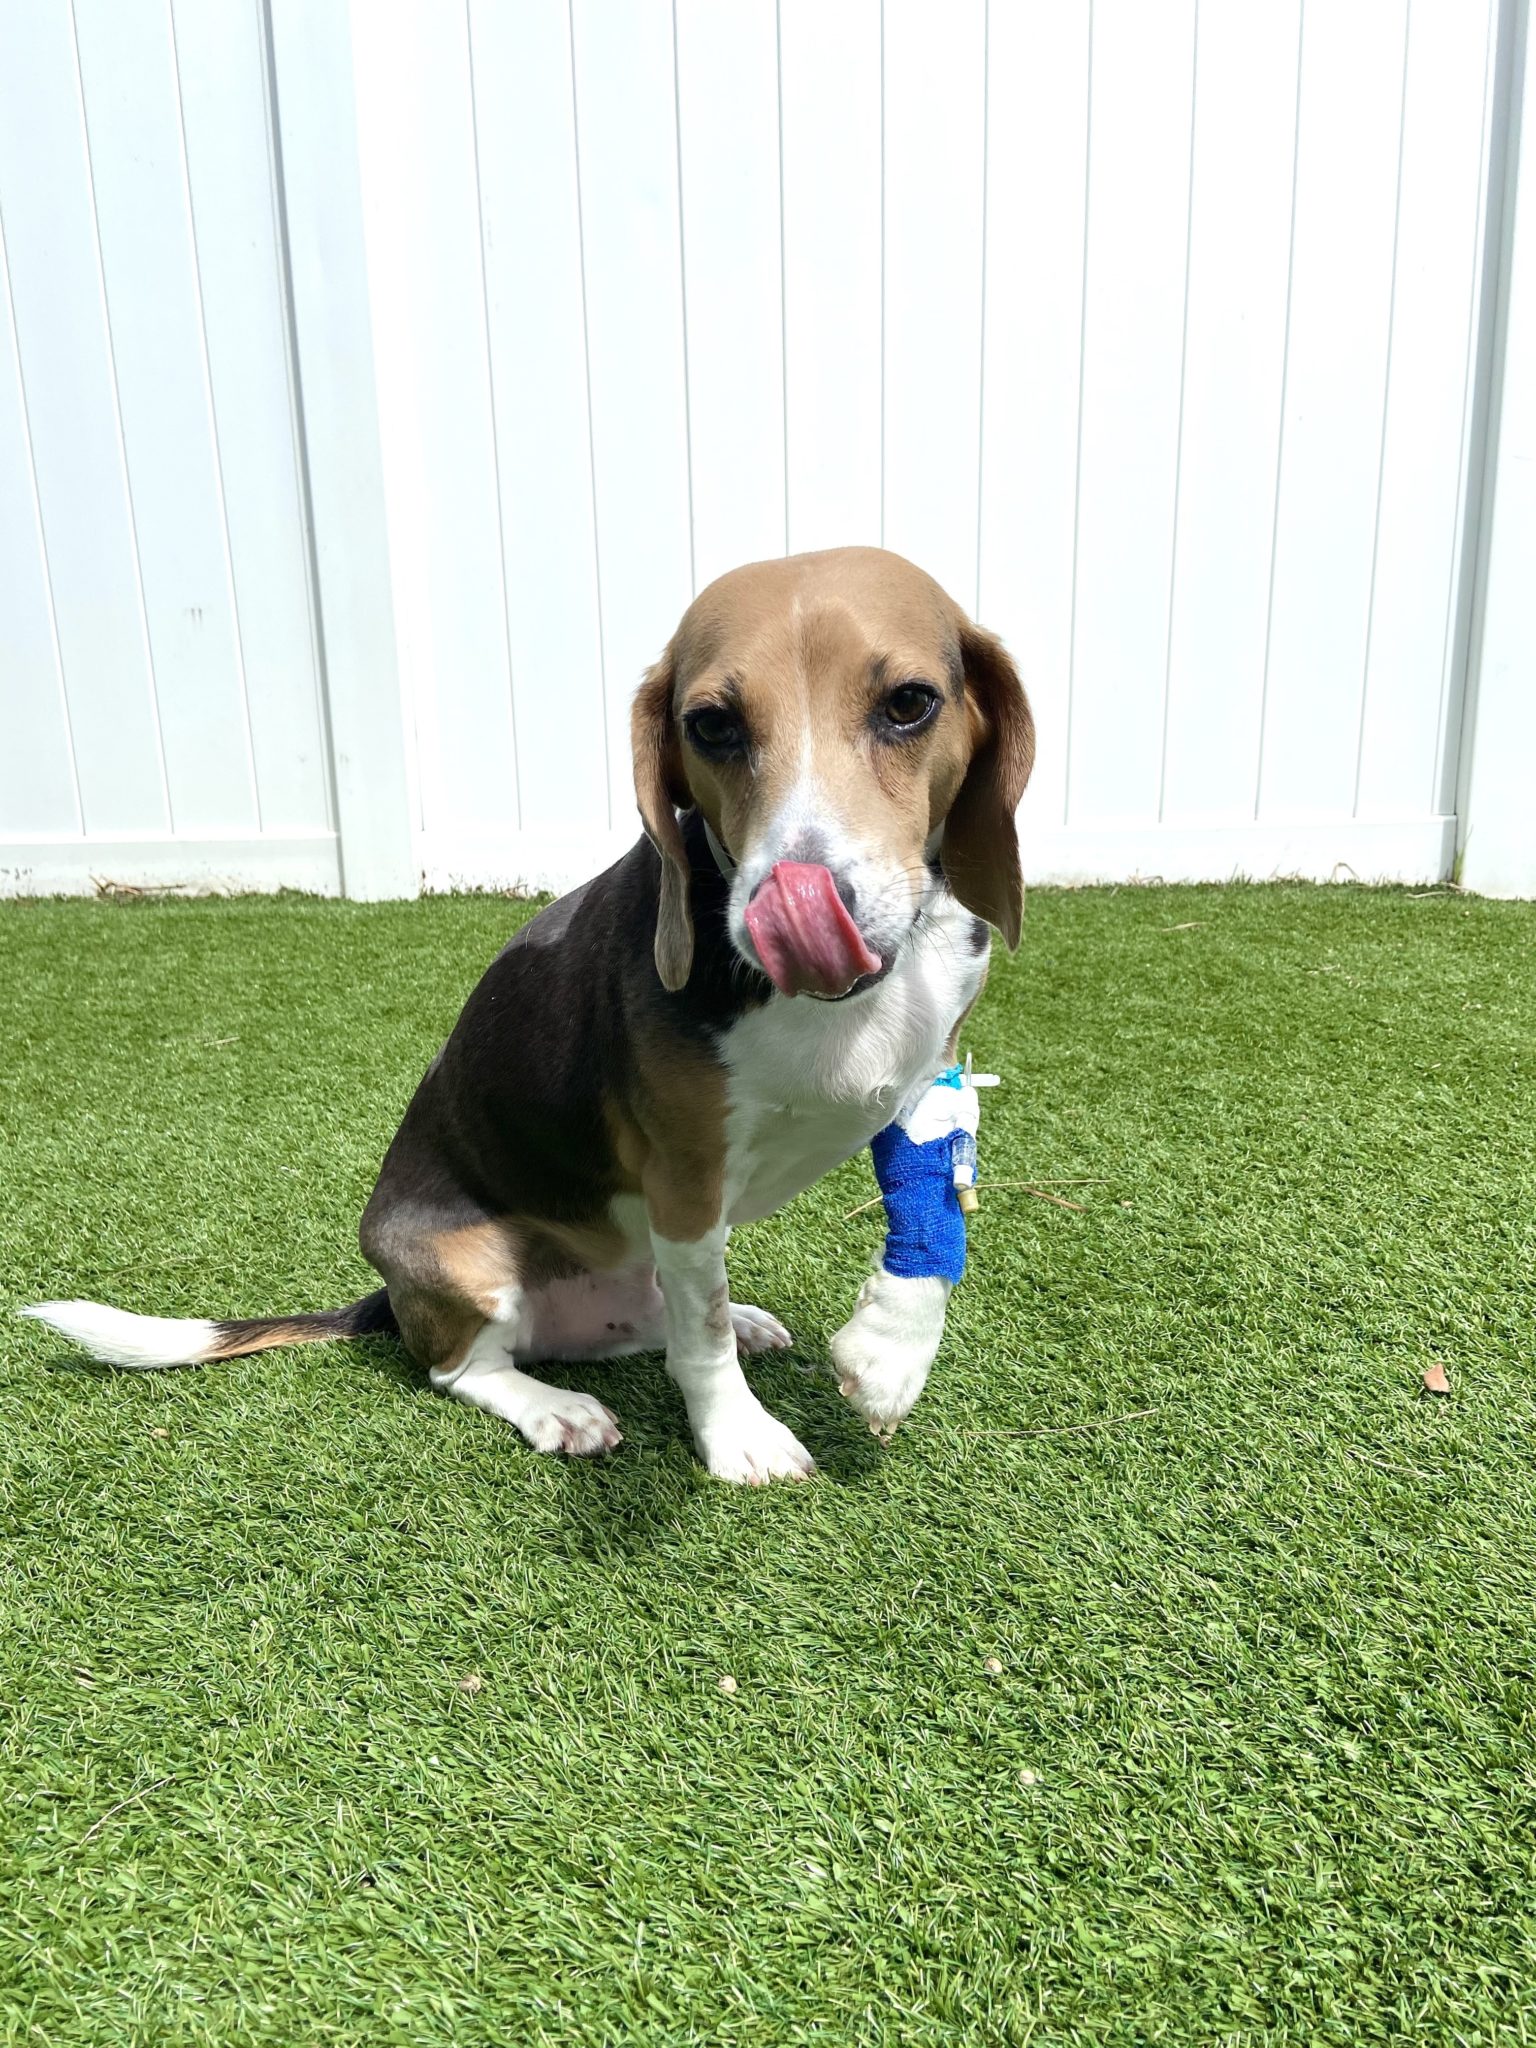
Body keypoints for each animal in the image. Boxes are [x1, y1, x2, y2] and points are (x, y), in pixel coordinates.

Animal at [20, 548, 1036, 1474]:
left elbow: (931, 1228)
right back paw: (558, 1409)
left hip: (636, 1264)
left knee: (662, 1319)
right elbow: (699, 1342)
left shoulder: (928, 1080)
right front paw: (738, 1438)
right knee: (470, 1368)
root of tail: (388, 1296)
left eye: (909, 703)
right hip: (474, 1264)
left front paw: (891, 1356)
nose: (800, 903)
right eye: (711, 726)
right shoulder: (685, 1176)